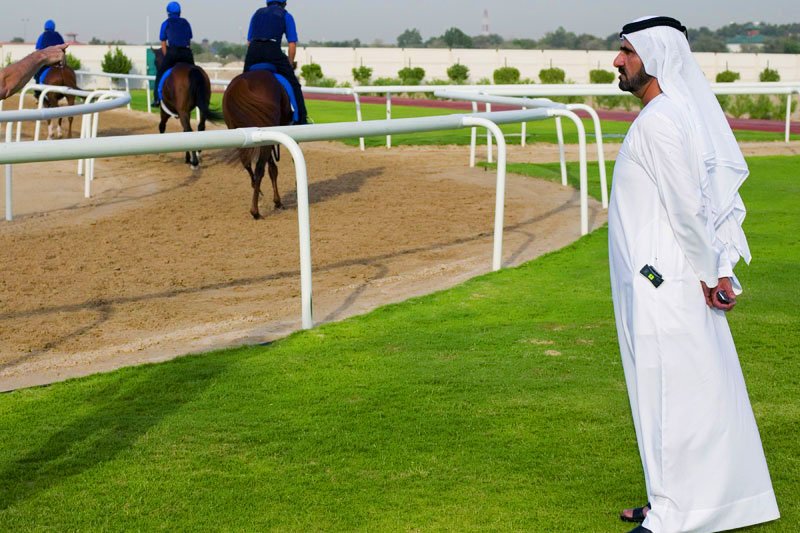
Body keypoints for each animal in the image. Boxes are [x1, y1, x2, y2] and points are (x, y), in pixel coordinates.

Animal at [222, 68, 294, 218]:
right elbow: (272, 168)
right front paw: (277, 201)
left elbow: (271, 167)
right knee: (259, 168)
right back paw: (255, 210)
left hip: (237, 131)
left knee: (247, 163)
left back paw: (257, 191)